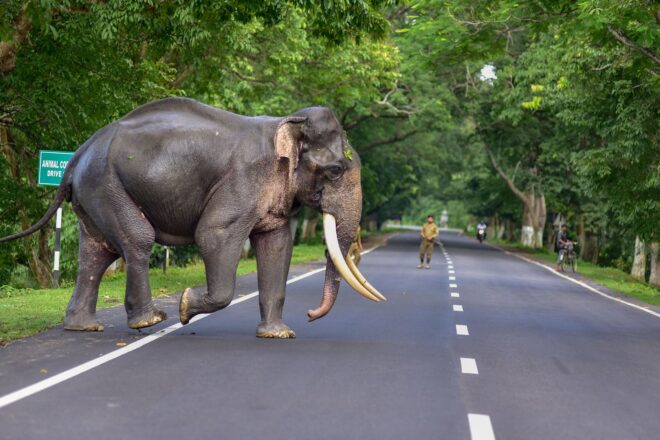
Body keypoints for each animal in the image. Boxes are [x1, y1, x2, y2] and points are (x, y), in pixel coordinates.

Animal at [0, 97, 385, 338]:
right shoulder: (242, 181)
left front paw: (279, 335)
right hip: (106, 185)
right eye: (335, 171)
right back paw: (150, 319)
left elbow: (277, 246)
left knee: (96, 253)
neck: (286, 123)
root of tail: (77, 155)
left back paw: (84, 327)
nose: (310, 316)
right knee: (137, 239)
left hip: (94, 193)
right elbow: (213, 234)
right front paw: (185, 307)